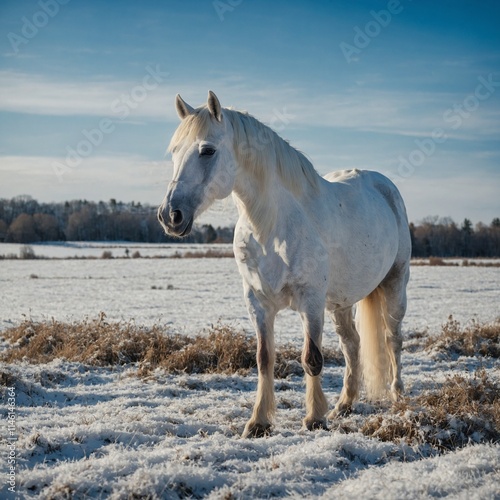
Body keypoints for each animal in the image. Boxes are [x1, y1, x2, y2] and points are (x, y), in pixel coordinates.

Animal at [158, 91, 412, 438]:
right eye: (174, 152)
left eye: (207, 150)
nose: (170, 215)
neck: (271, 226)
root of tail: (384, 186)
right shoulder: (258, 302)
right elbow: (264, 359)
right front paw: (258, 422)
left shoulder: (311, 301)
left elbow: (312, 358)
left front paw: (315, 419)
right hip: (342, 302)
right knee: (352, 345)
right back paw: (344, 405)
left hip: (395, 284)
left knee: (392, 339)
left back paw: (398, 397)